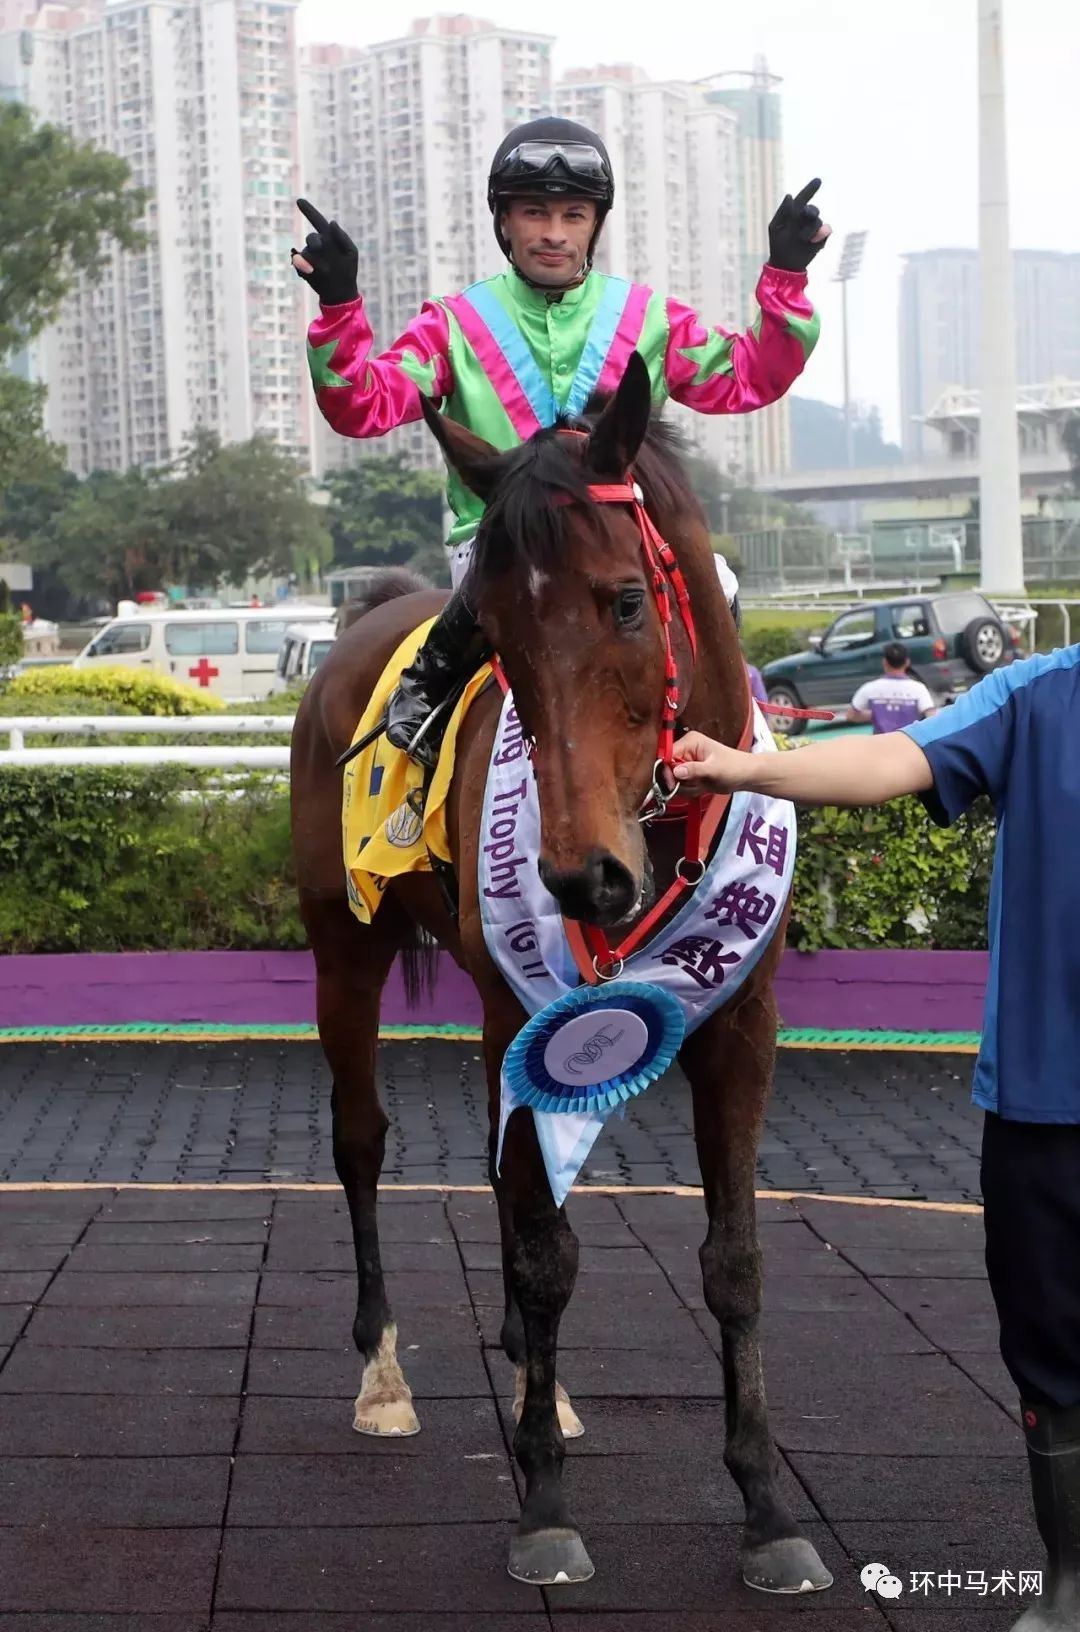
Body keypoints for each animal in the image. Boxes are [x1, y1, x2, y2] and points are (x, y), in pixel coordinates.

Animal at [292, 354, 832, 1592]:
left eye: (626, 599)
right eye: (490, 630)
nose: (582, 877)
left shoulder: (743, 1025)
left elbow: (732, 1261)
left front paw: (767, 1511)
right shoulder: (519, 1001)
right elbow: (547, 1254)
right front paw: (543, 1502)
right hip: (345, 948)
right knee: (362, 1142)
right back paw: (383, 1376)